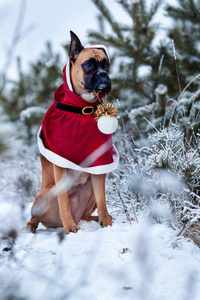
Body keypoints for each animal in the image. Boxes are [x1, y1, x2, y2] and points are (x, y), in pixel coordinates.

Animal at [25, 31, 118, 233]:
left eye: (106, 65)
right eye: (88, 65)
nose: (103, 74)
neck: (82, 109)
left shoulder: (99, 167)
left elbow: (103, 201)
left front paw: (107, 223)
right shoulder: (59, 163)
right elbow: (64, 201)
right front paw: (70, 227)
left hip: (89, 191)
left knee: (87, 212)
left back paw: (93, 219)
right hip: (43, 197)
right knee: (36, 217)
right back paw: (35, 226)